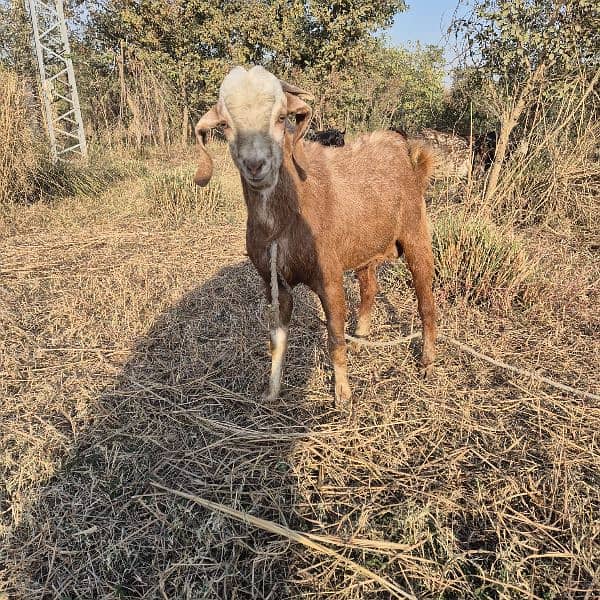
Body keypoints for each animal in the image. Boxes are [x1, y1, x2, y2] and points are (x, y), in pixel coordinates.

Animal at [195, 65, 434, 408]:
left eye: (281, 117)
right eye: (225, 125)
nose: (256, 165)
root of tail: (404, 149)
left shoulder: (329, 276)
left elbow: (334, 337)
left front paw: (342, 394)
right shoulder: (273, 282)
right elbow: (277, 340)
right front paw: (272, 391)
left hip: (416, 233)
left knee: (426, 299)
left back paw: (427, 360)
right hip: (366, 248)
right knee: (370, 288)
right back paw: (360, 339)